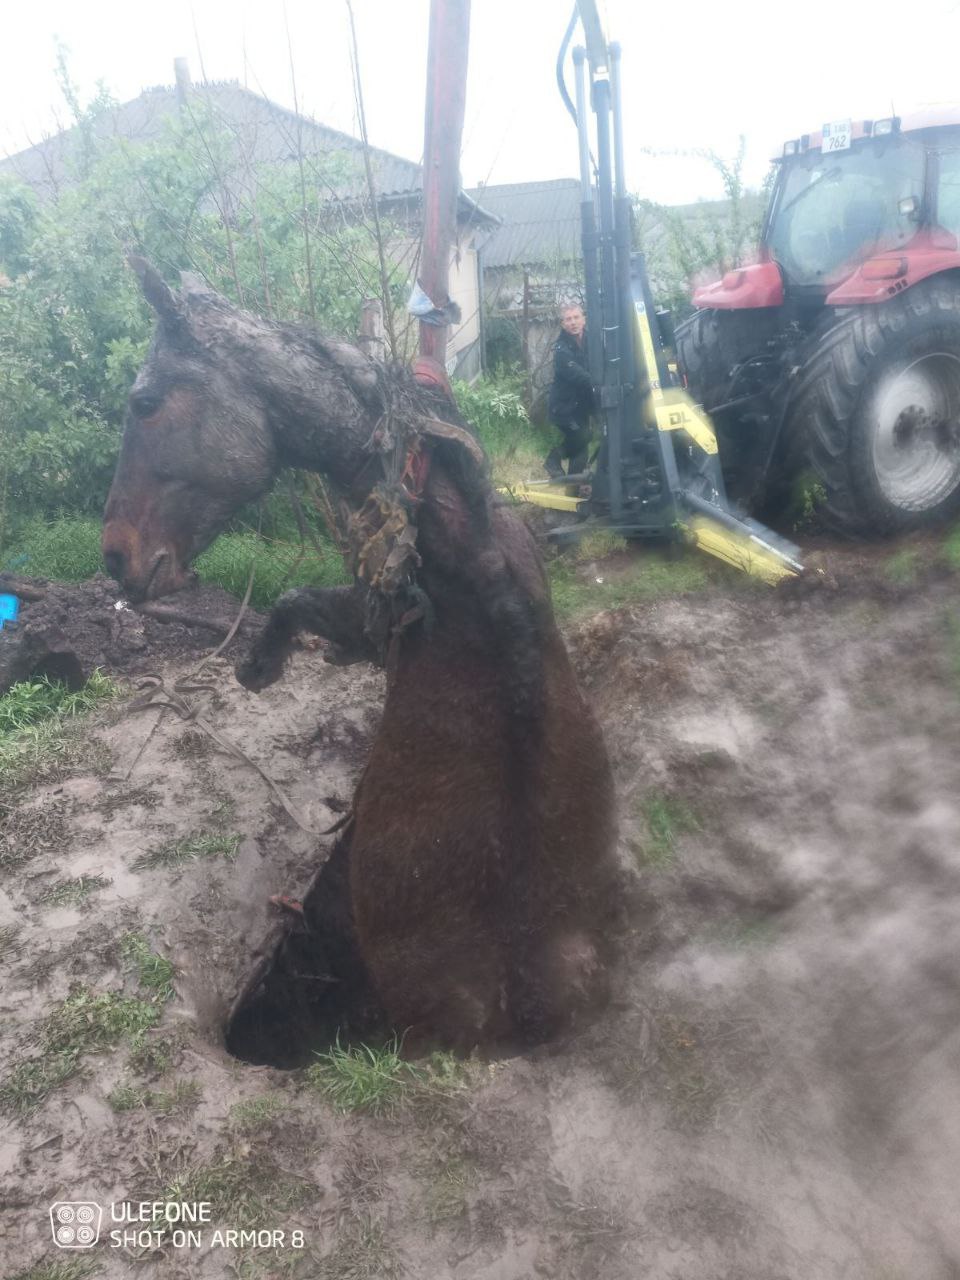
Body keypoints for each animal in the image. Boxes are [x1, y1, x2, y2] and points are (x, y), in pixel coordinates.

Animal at [101, 262, 619, 1049]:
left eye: (145, 401)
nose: (116, 560)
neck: (467, 551)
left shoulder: (374, 620)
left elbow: (296, 602)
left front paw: (261, 666)